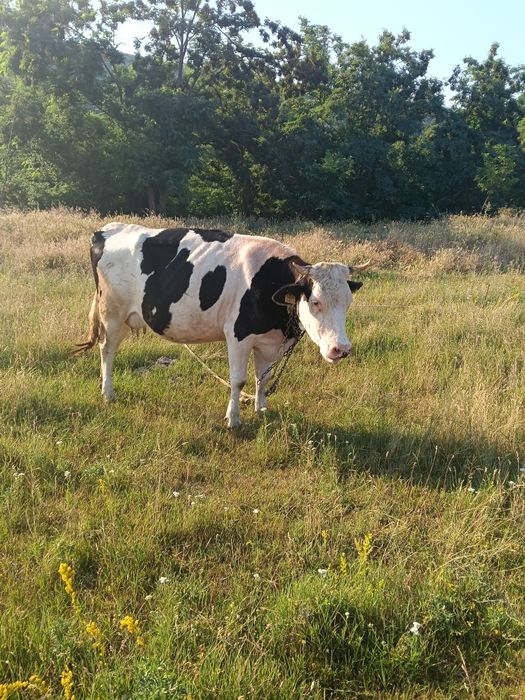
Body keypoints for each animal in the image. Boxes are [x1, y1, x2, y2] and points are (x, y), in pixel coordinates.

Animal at [76, 223, 369, 427]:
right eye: (316, 301)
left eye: (348, 302)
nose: (341, 348)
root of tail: (107, 229)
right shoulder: (238, 336)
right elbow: (238, 380)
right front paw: (233, 419)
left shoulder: (268, 341)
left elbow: (263, 378)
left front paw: (262, 409)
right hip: (112, 313)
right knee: (107, 350)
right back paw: (108, 393)